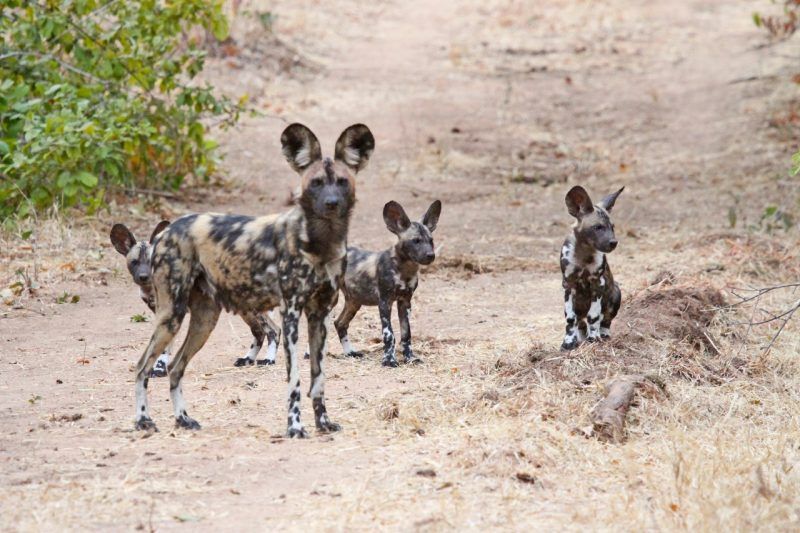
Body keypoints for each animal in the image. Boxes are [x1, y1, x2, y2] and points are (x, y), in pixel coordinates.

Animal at [108, 221, 284, 374]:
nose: (144, 277)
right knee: (259, 332)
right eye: (134, 262)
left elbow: (165, 347)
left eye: (152, 262)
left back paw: (269, 360)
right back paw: (247, 359)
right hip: (245, 309)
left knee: (274, 330)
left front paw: (159, 368)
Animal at [134, 123, 376, 436]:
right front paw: (295, 427)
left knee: (175, 367)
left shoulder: (319, 316)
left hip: (204, 320)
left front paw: (323, 423)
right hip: (171, 316)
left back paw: (183, 419)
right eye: (316, 183)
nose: (331, 203)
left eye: (343, 182)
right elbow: (295, 381)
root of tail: (168, 230)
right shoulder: (291, 314)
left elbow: (318, 380)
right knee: (142, 366)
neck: (321, 243)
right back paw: (143, 420)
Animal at [332, 198, 440, 366]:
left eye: (431, 241)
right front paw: (389, 361)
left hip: (354, 302)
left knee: (339, 323)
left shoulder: (405, 302)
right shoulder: (384, 302)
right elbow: (389, 334)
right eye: (416, 241)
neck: (405, 270)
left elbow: (406, 334)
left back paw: (350, 352)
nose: (431, 255)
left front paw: (410, 358)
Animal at [560, 185, 620, 352]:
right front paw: (568, 342)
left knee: (605, 320)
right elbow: (570, 319)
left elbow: (594, 317)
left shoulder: (597, 285)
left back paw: (602, 335)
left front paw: (594, 340)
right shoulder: (568, 286)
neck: (584, 254)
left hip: (616, 293)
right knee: (580, 323)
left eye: (612, 227)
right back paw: (579, 339)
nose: (614, 242)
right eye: (598, 227)